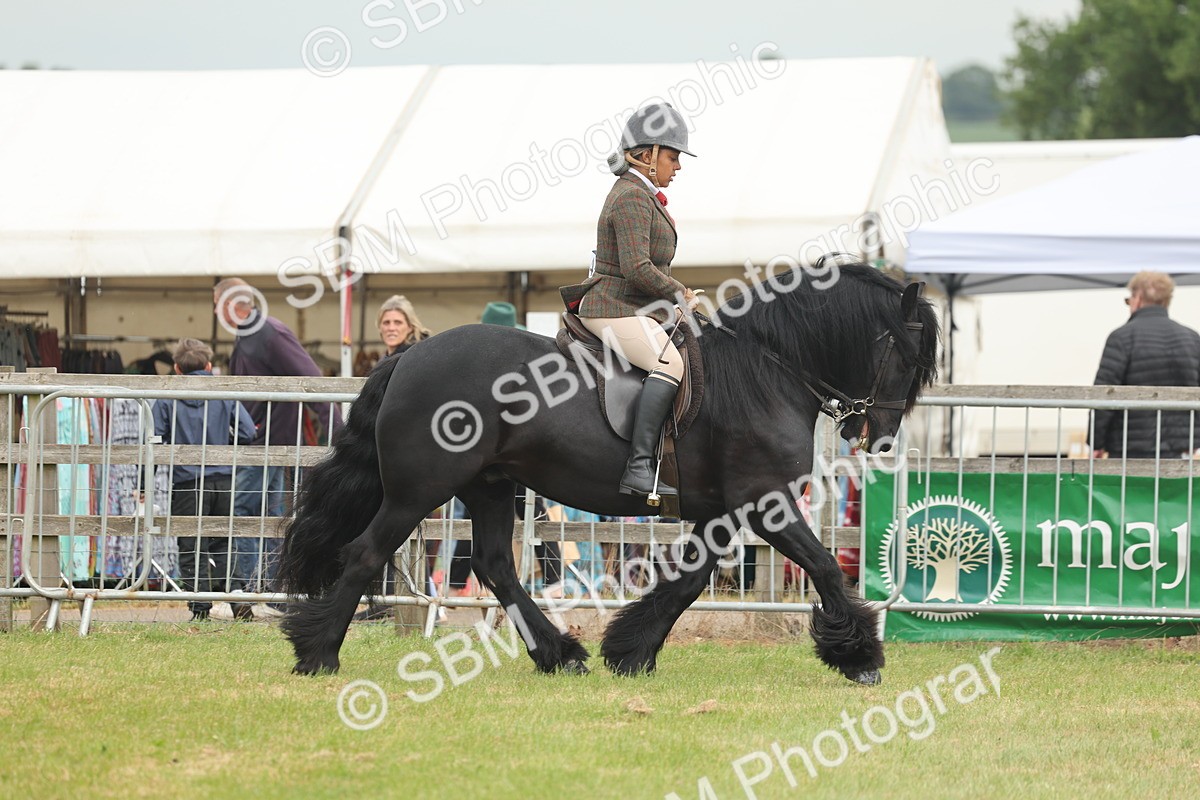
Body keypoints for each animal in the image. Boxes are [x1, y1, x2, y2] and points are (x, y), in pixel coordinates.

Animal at [279, 262, 940, 685]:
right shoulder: (765, 501)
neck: (768, 369)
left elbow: (688, 582)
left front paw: (629, 652)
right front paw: (861, 658)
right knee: (366, 553)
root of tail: (411, 354)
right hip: (420, 489)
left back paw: (559, 654)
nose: (879, 437)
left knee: (495, 566)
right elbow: (825, 565)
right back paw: (319, 655)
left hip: (490, 486)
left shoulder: (724, 512)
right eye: (908, 358)